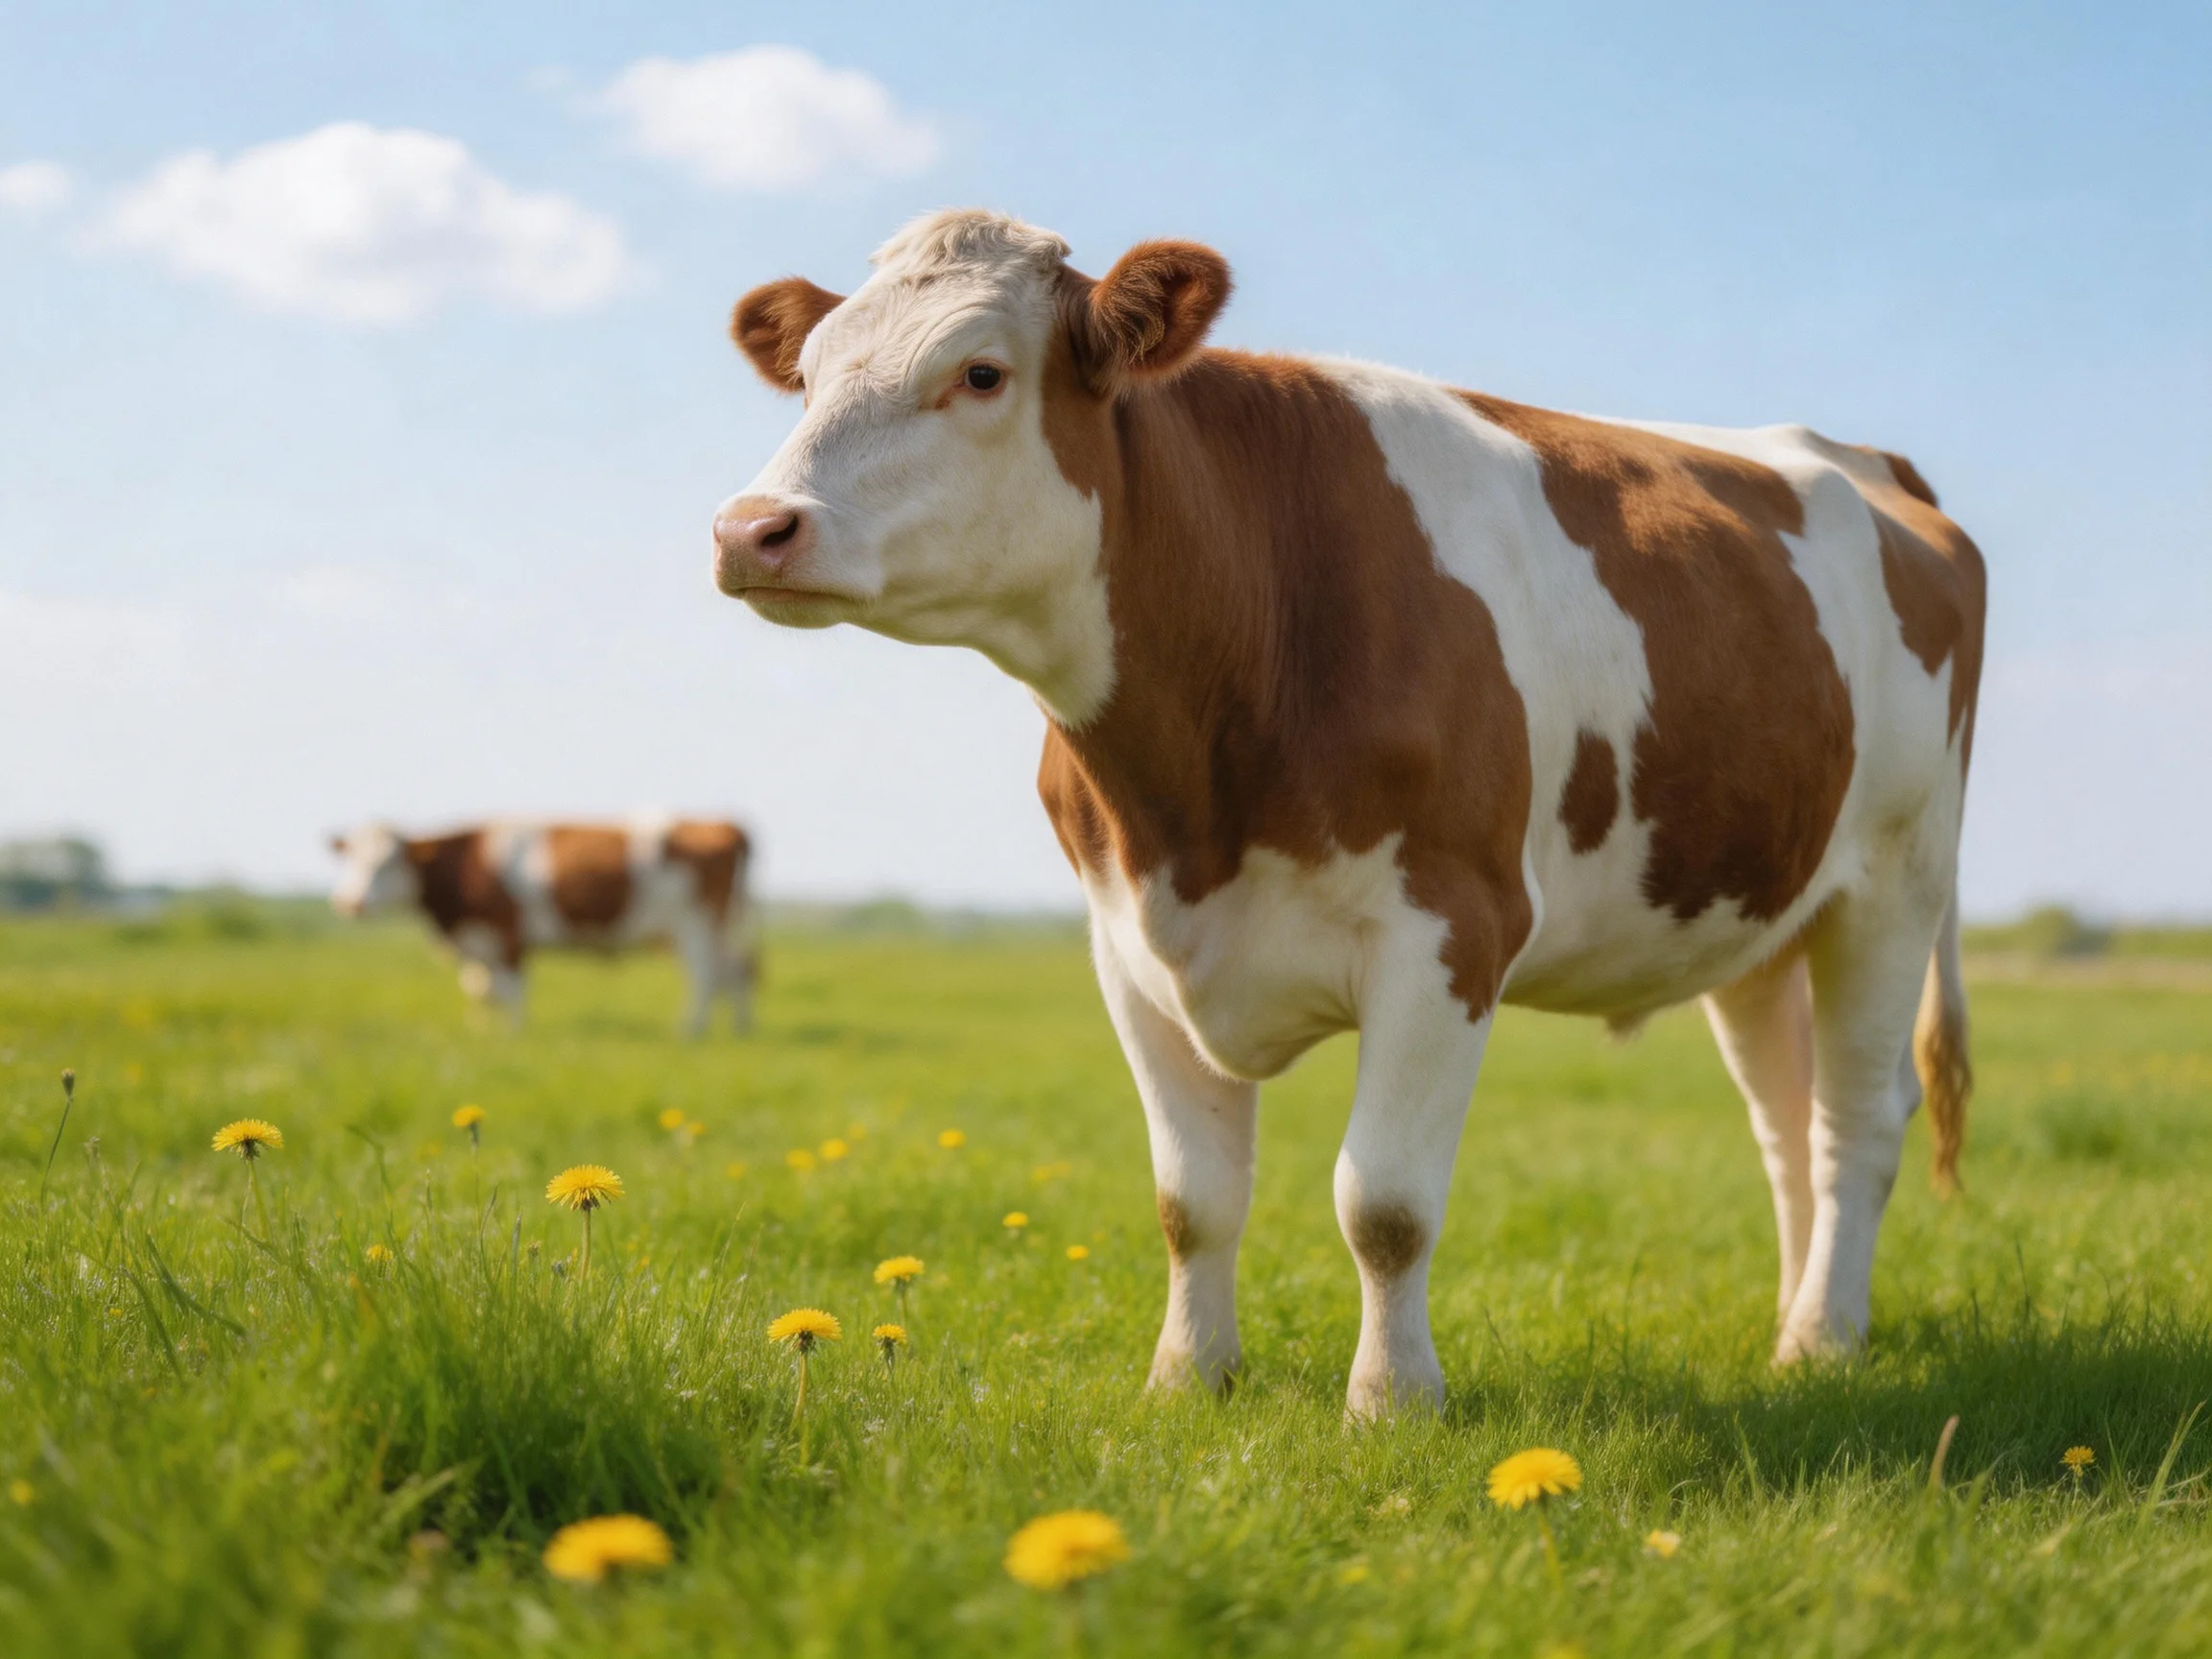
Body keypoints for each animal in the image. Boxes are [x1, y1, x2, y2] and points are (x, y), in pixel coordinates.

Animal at [329, 817, 756, 1034]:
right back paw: (738, 1029)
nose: (351, 903)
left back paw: (689, 1031)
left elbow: (511, 989)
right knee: (735, 972)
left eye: (389, 863)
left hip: (694, 925)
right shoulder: (478, 941)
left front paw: (515, 1034)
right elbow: (481, 989)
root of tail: (724, 824)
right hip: (713, 928)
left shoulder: (508, 934)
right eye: (349, 860)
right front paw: (481, 1031)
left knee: (705, 977)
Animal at [710, 210, 1985, 1417]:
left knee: (1856, 1121)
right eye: (809, 374)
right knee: (1786, 1122)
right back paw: (1794, 1322)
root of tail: (1859, 458)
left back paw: (1825, 1342)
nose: (750, 528)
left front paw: (1390, 1402)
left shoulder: (1452, 931)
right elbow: (1192, 1200)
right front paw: (1188, 1379)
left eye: (980, 372)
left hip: (1895, 883)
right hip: (1761, 916)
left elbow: (1385, 1203)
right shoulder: (1128, 947)